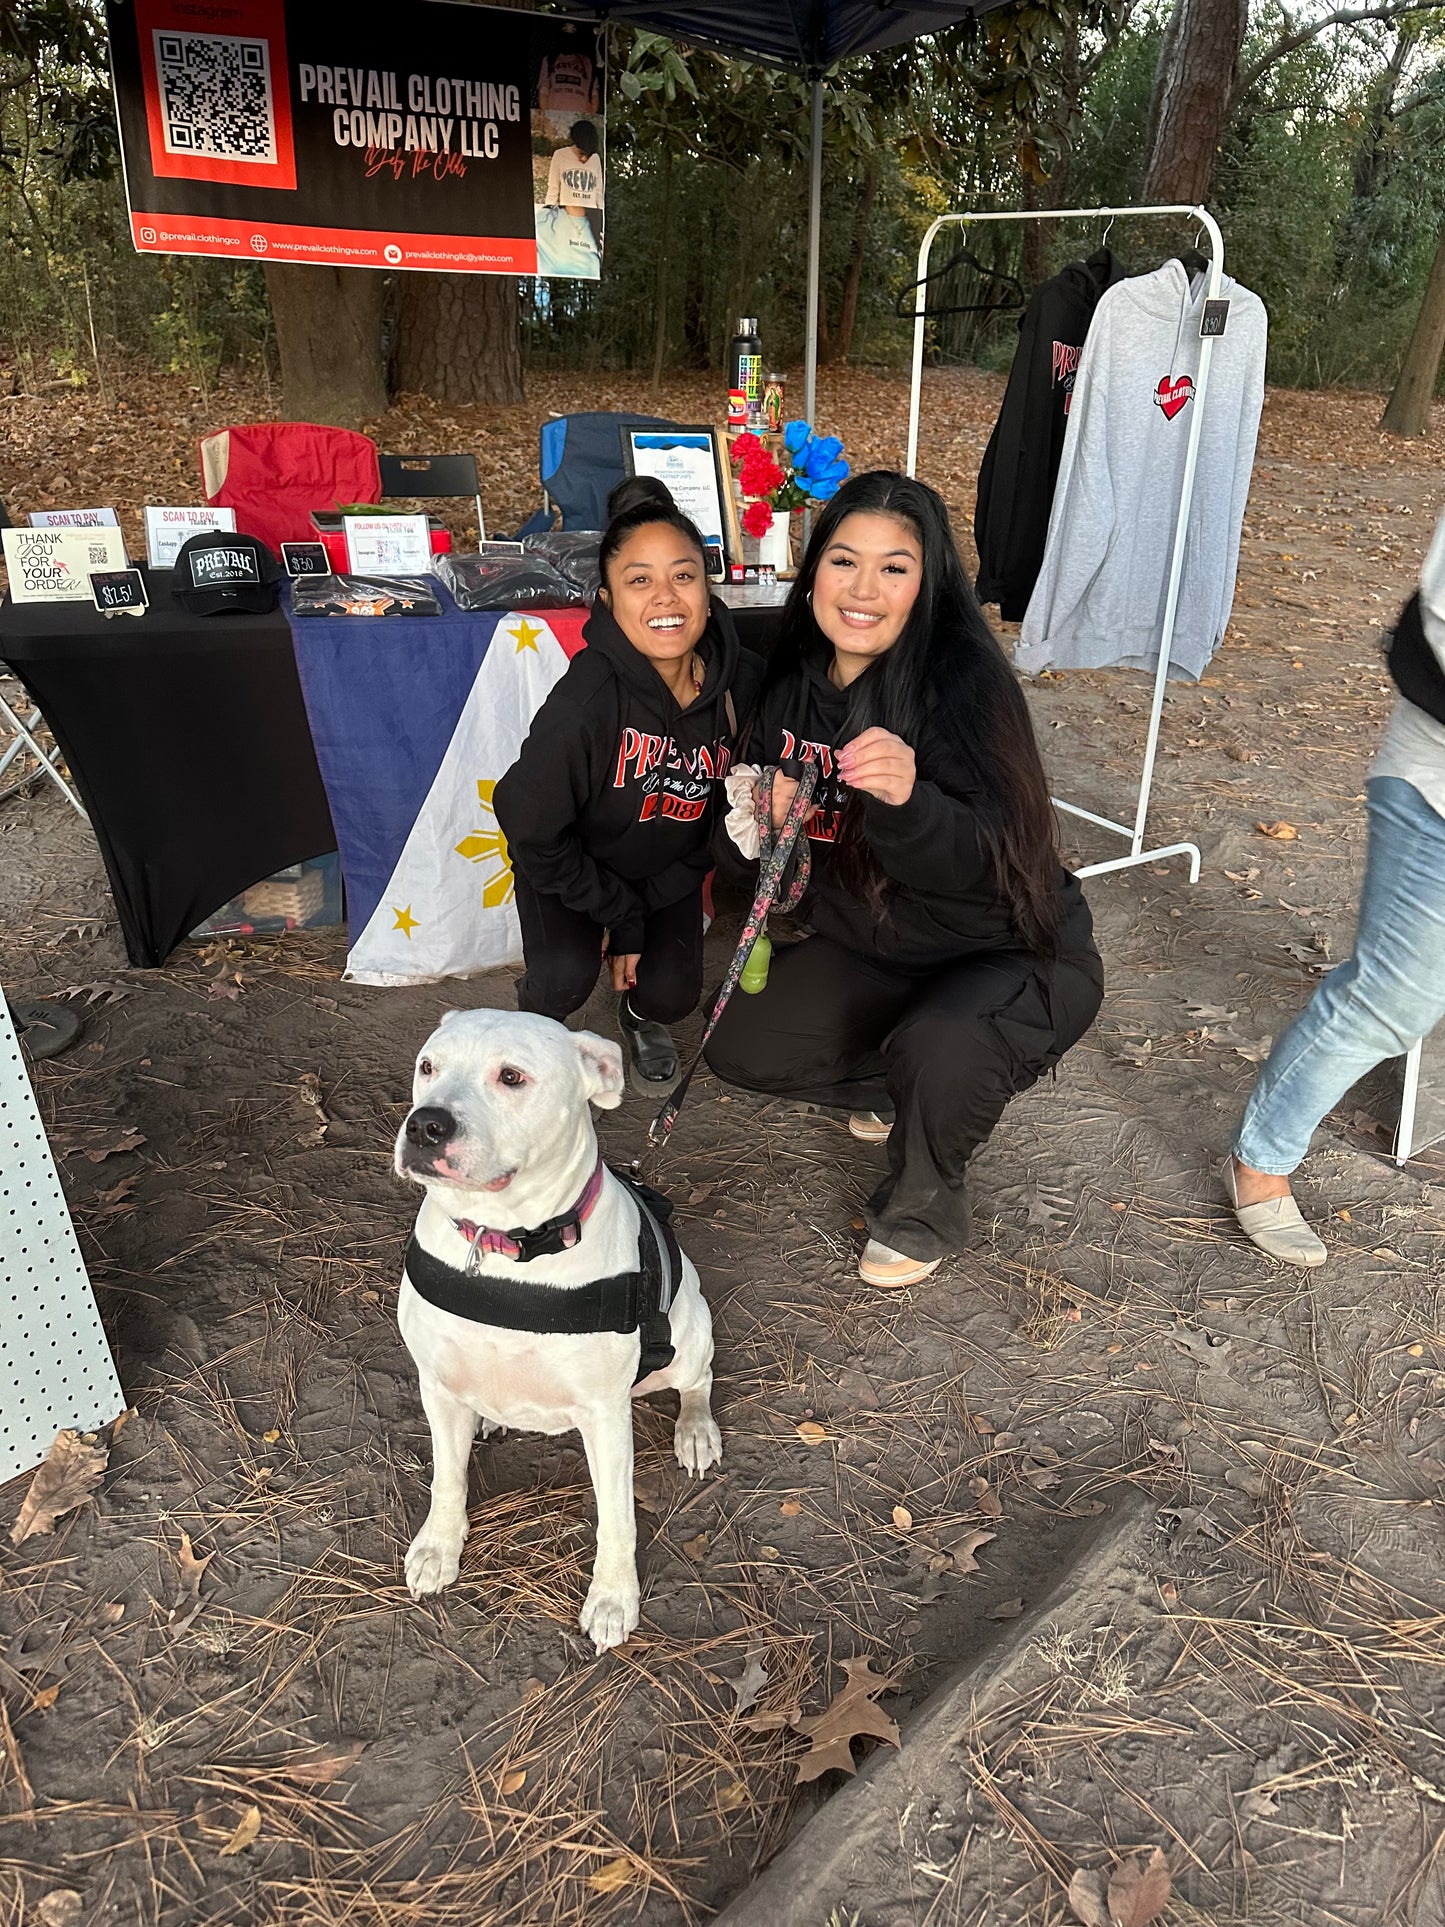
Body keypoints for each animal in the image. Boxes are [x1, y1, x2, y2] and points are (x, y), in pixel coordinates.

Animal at [396, 1002, 724, 1649]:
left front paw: (613, 1598)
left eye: (512, 1077)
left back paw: (696, 1430)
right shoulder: (437, 1385)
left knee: (697, 1381)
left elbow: (616, 1517)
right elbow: (447, 1478)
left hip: (689, 1334)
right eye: (427, 1066)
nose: (424, 1126)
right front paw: (439, 1547)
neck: (506, 1243)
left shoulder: (604, 1415)